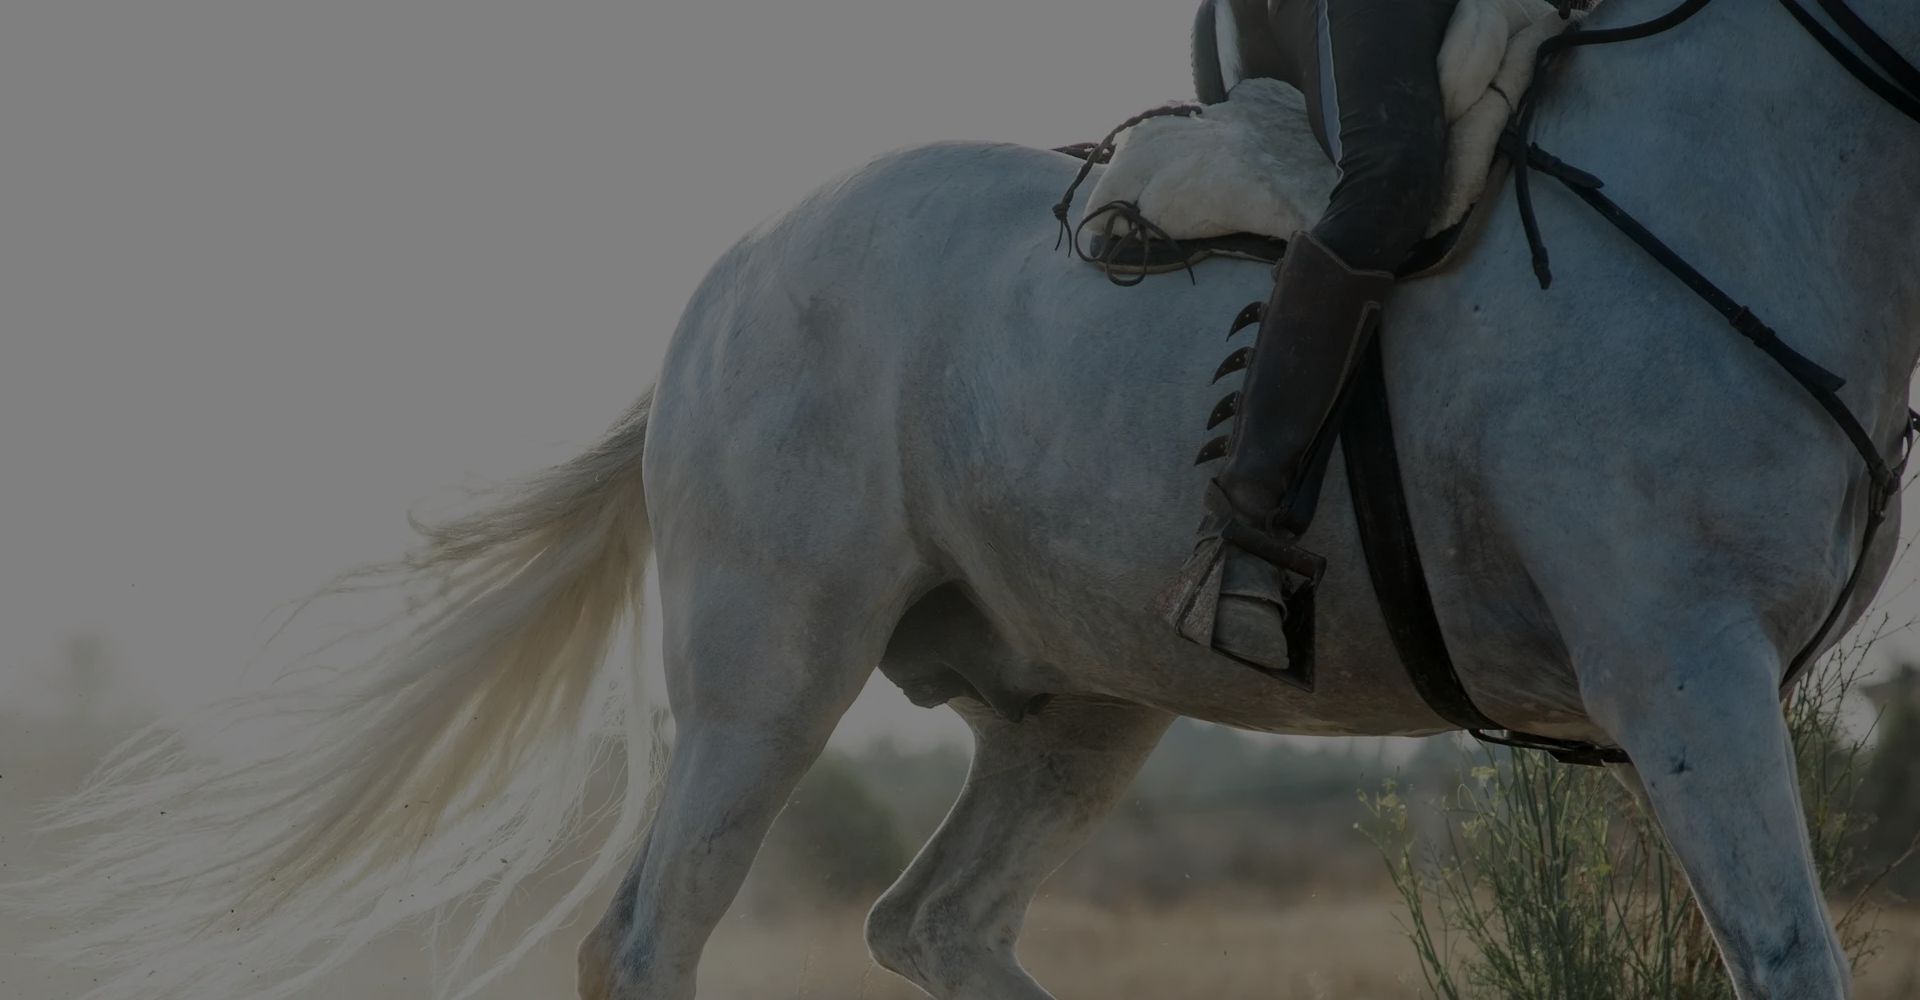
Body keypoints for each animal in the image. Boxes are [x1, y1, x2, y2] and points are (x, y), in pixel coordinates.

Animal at [31, 0, 1918, 997]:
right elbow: (1787, 956)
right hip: (769, 680)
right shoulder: (1679, 669)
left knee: (932, 925)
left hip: (1082, 706)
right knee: (647, 937)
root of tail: (733, 271)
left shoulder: (1710, 688)